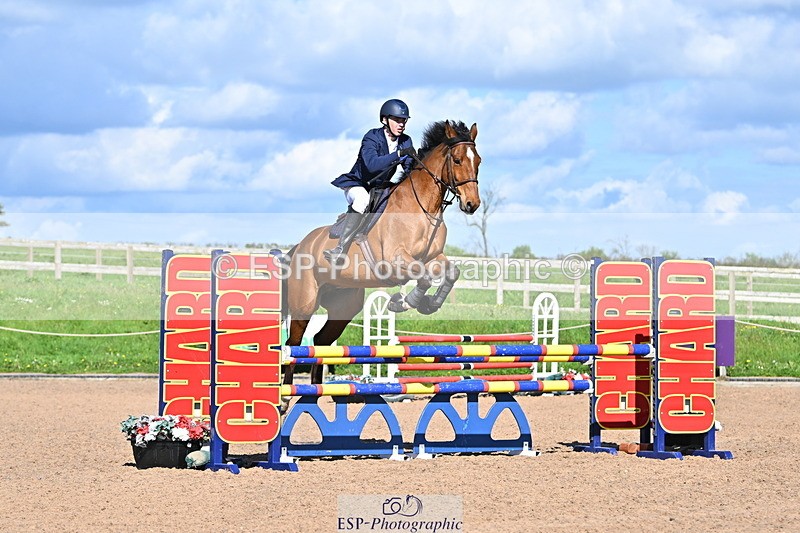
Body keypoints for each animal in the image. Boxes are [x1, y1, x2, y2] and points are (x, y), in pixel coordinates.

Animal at [283, 120, 482, 384]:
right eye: (458, 160)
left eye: (478, 161)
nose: (472, 204)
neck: (423, 208)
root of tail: (299, 247)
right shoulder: (396, 260)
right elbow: (424, 277)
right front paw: (405, 302)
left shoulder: (432, 257)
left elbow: (451, 272)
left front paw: (429, 304)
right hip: (304, 305)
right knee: (294, 345)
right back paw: (286, 393)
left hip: (343, 306)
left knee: (320, 341)